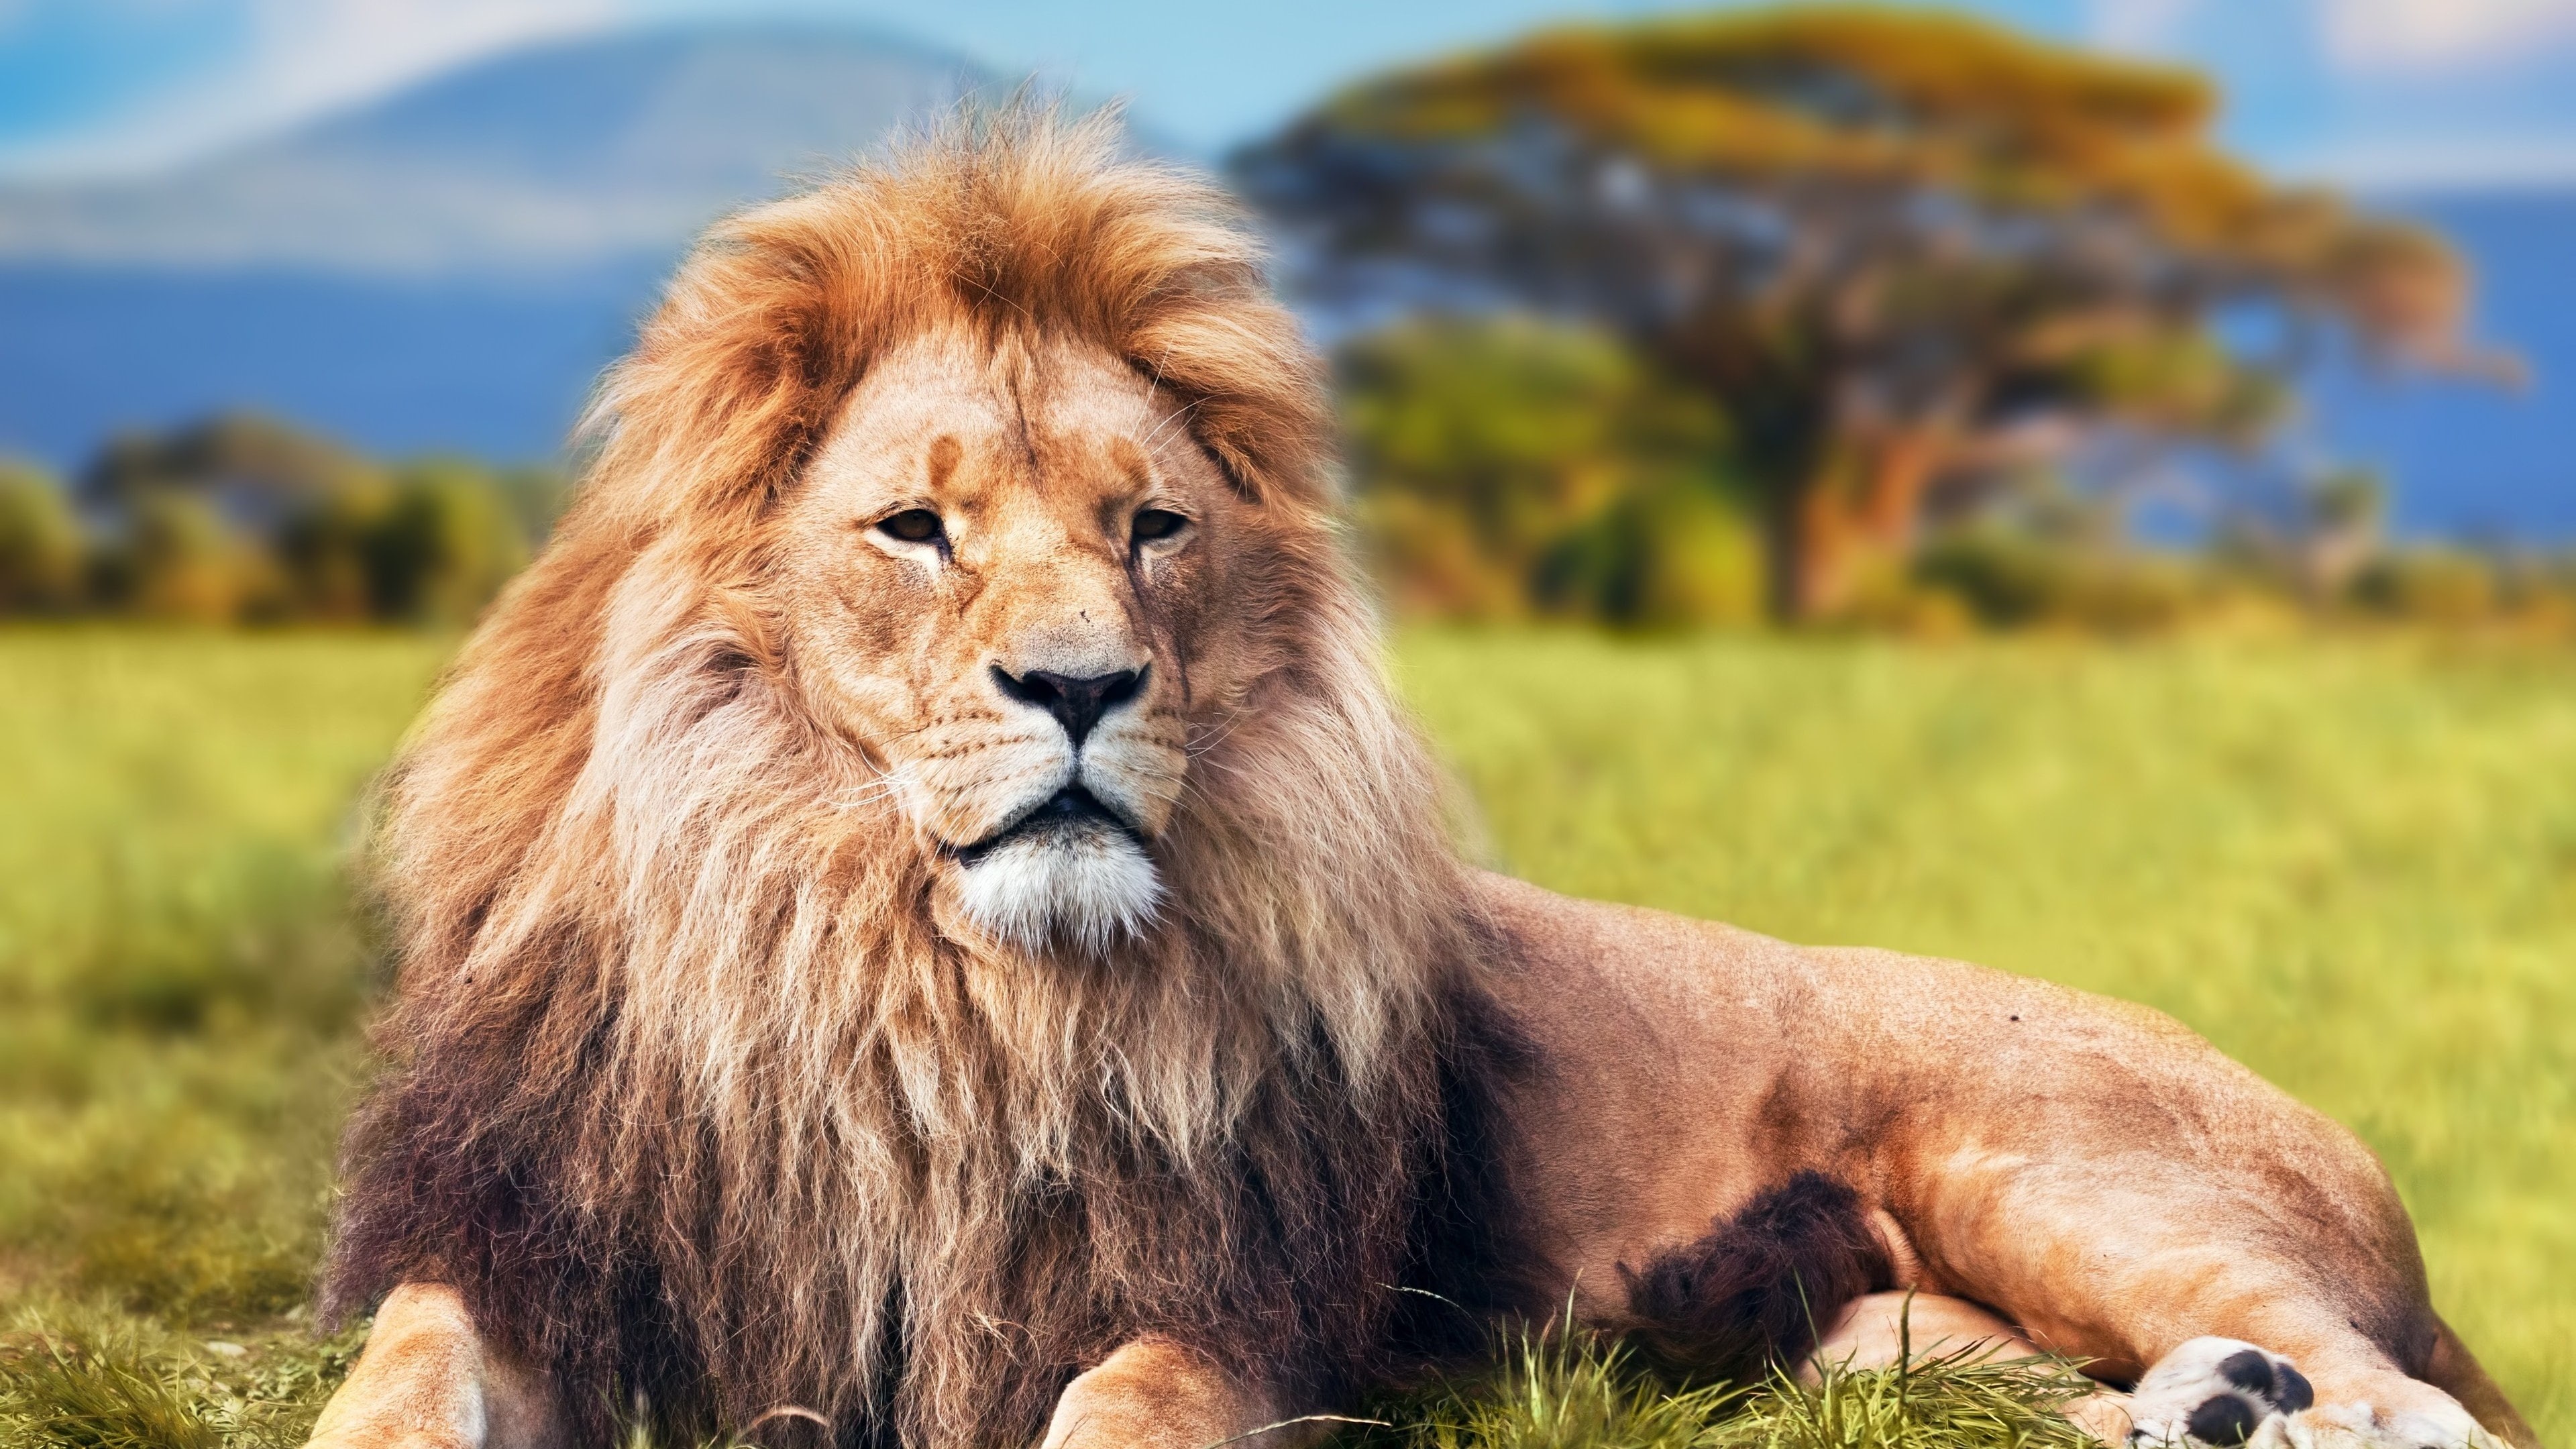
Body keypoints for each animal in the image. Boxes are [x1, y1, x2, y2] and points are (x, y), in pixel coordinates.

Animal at [304, 113, 2541, 1449]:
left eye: (1150, 529)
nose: (1082, 686)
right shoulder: (535, 1254)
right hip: (1869, 1350)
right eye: (914, 531)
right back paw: (2209, 1412)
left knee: (2402, 1408)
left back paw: (2262, 1396)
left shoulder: (1223, 1306)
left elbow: (1112, 1410)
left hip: (2054, 1173)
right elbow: (398, 1386)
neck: (901, 982)